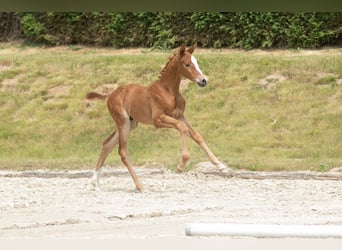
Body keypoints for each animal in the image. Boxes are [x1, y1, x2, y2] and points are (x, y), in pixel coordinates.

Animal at [86, 43, 227, 191]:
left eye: (197, 62)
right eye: (187, 64)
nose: (204, 80)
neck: (168, 91)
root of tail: (110, 95)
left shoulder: (180, 116)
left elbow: (196, 135)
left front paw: (221, 166)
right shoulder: (158, 120)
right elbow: (181, 127)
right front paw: (181, 165)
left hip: (131, 124)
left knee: (107, 144)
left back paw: (95, 183)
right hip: (123, 121)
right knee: (122, 151)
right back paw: (139, 185)